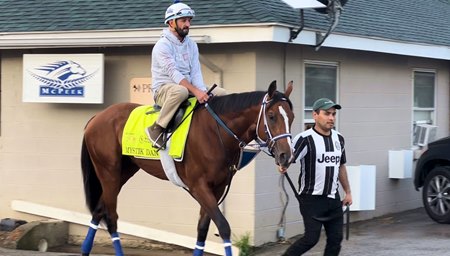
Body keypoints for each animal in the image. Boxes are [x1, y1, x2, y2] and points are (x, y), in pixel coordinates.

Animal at [81, 80, 296, 256]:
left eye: (292, 117)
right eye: (271, 116)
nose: (286, 155)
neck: (215, 132)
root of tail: (96, 117)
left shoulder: (217, 187)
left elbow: (202, 228)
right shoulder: (199, 186)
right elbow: (223, 226)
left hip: (123, 173)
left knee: (98, 210)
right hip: (109, 172)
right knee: (111, 217)